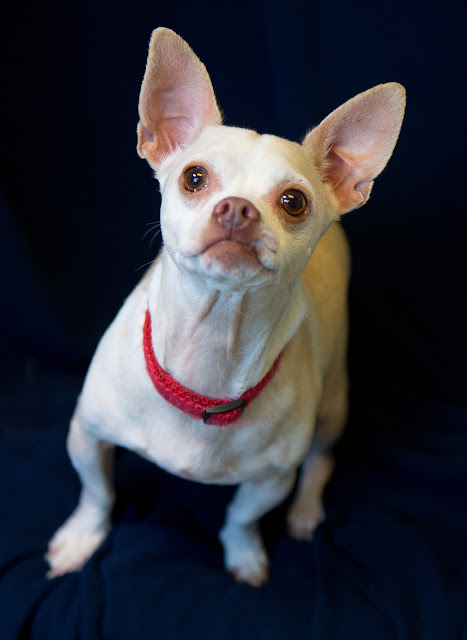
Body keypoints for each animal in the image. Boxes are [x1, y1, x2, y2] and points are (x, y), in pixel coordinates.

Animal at [45, 27, 405, 586]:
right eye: (194, 178)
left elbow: (240, 517)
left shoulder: (270, 481)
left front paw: (244, 554)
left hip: (333, 404)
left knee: (319, 463)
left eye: (294, 202)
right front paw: (83, 537)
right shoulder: (86, 435)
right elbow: (97, 493)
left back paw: (306, 511)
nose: (237, 208)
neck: (210, 343)